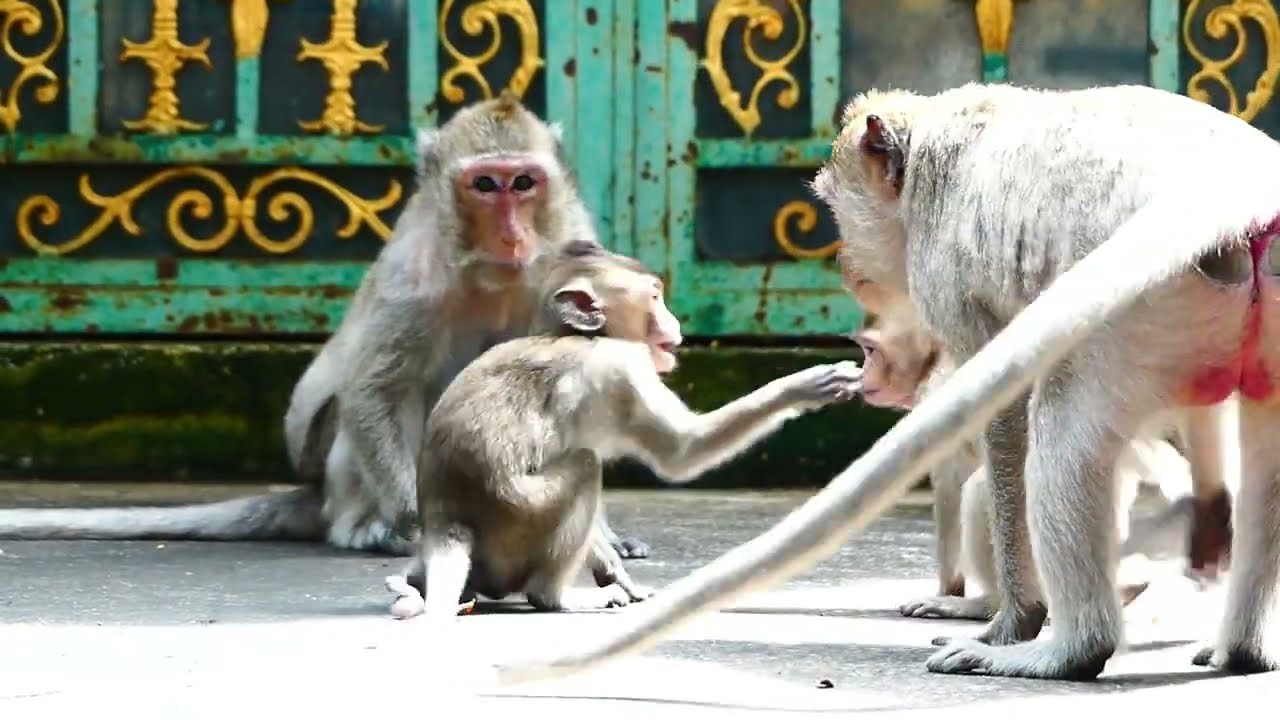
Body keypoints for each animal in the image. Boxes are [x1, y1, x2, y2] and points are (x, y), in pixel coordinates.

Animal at [0, 93, 650, 562]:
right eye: (485, 185)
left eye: (524, 183)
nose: (512, 236)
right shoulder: (412, 277)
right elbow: (376, 391)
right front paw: (418, 526)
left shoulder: (576, 242)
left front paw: (601, 533)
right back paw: (366, 527)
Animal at [382, 241, 864, 621]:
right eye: (654, 297)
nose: (674, 323)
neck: (572, 335)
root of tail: (446, 521)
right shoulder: (623, 369)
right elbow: (680, 452)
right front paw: (803, 386)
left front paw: (618, 572)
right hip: (518, 520)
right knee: (583, 465)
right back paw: (553, 598)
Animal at [476, 82, 1278, 688]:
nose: (845, 265)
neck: (940, 146)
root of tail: (1234, 191)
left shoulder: (943, 263)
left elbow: (1005, 417)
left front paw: (1010, 623)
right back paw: (1238, 647)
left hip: (1146, 311)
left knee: (1064, 427)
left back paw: (1065, 650)